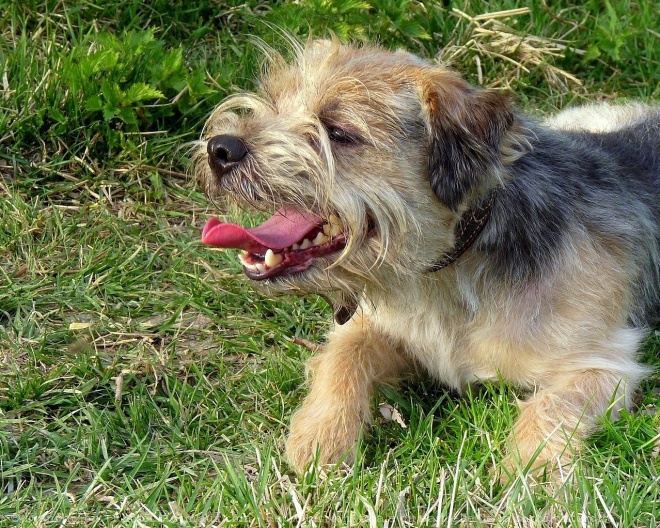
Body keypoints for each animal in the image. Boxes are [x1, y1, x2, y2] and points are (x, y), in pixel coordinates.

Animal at [197, 37, 660, 480]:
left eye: (339, 131)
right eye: (275, 100)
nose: (220, 148)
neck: (450, 269)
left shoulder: (602, 365)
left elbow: (549, 408)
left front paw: (529, 473)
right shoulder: (369, 323)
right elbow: (343, 358)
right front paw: (321, 435)